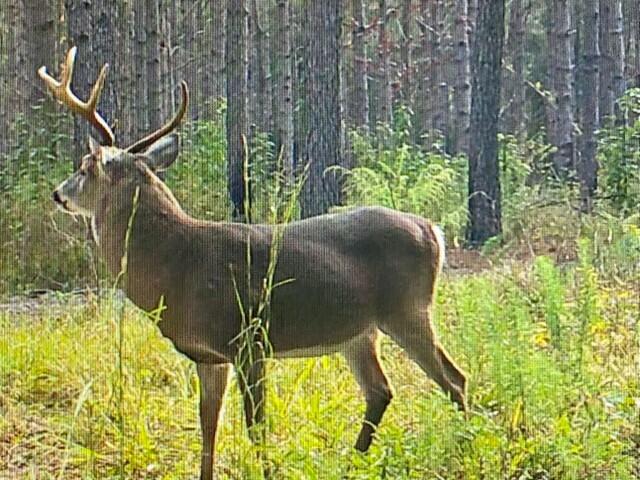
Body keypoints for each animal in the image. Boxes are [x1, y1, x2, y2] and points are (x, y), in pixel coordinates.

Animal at [40, 47, 468, 480]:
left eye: (84, 167)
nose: (58, 194)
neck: (175, 266)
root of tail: (432, 229)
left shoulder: (248, 338)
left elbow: (256, 427)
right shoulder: (208, 356)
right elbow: (208, 430)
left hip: (407, 310)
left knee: (454, 379)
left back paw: (463, 447)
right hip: (358, 332)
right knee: (381, 390)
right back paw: (353, 462)